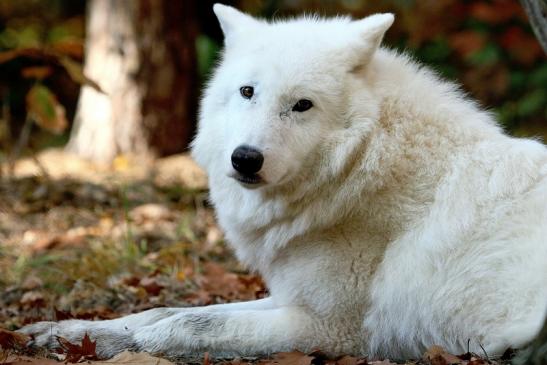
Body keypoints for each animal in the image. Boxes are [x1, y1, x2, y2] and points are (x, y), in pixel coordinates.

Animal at [20, 2, 547, 360]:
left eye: (302, 105)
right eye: (247, 91)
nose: (245, 159)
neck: (363, 163)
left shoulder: (330, 328)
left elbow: (190, 324)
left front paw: (140, 344)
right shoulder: (289, 298)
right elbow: (163, 311)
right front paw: (67, 332)